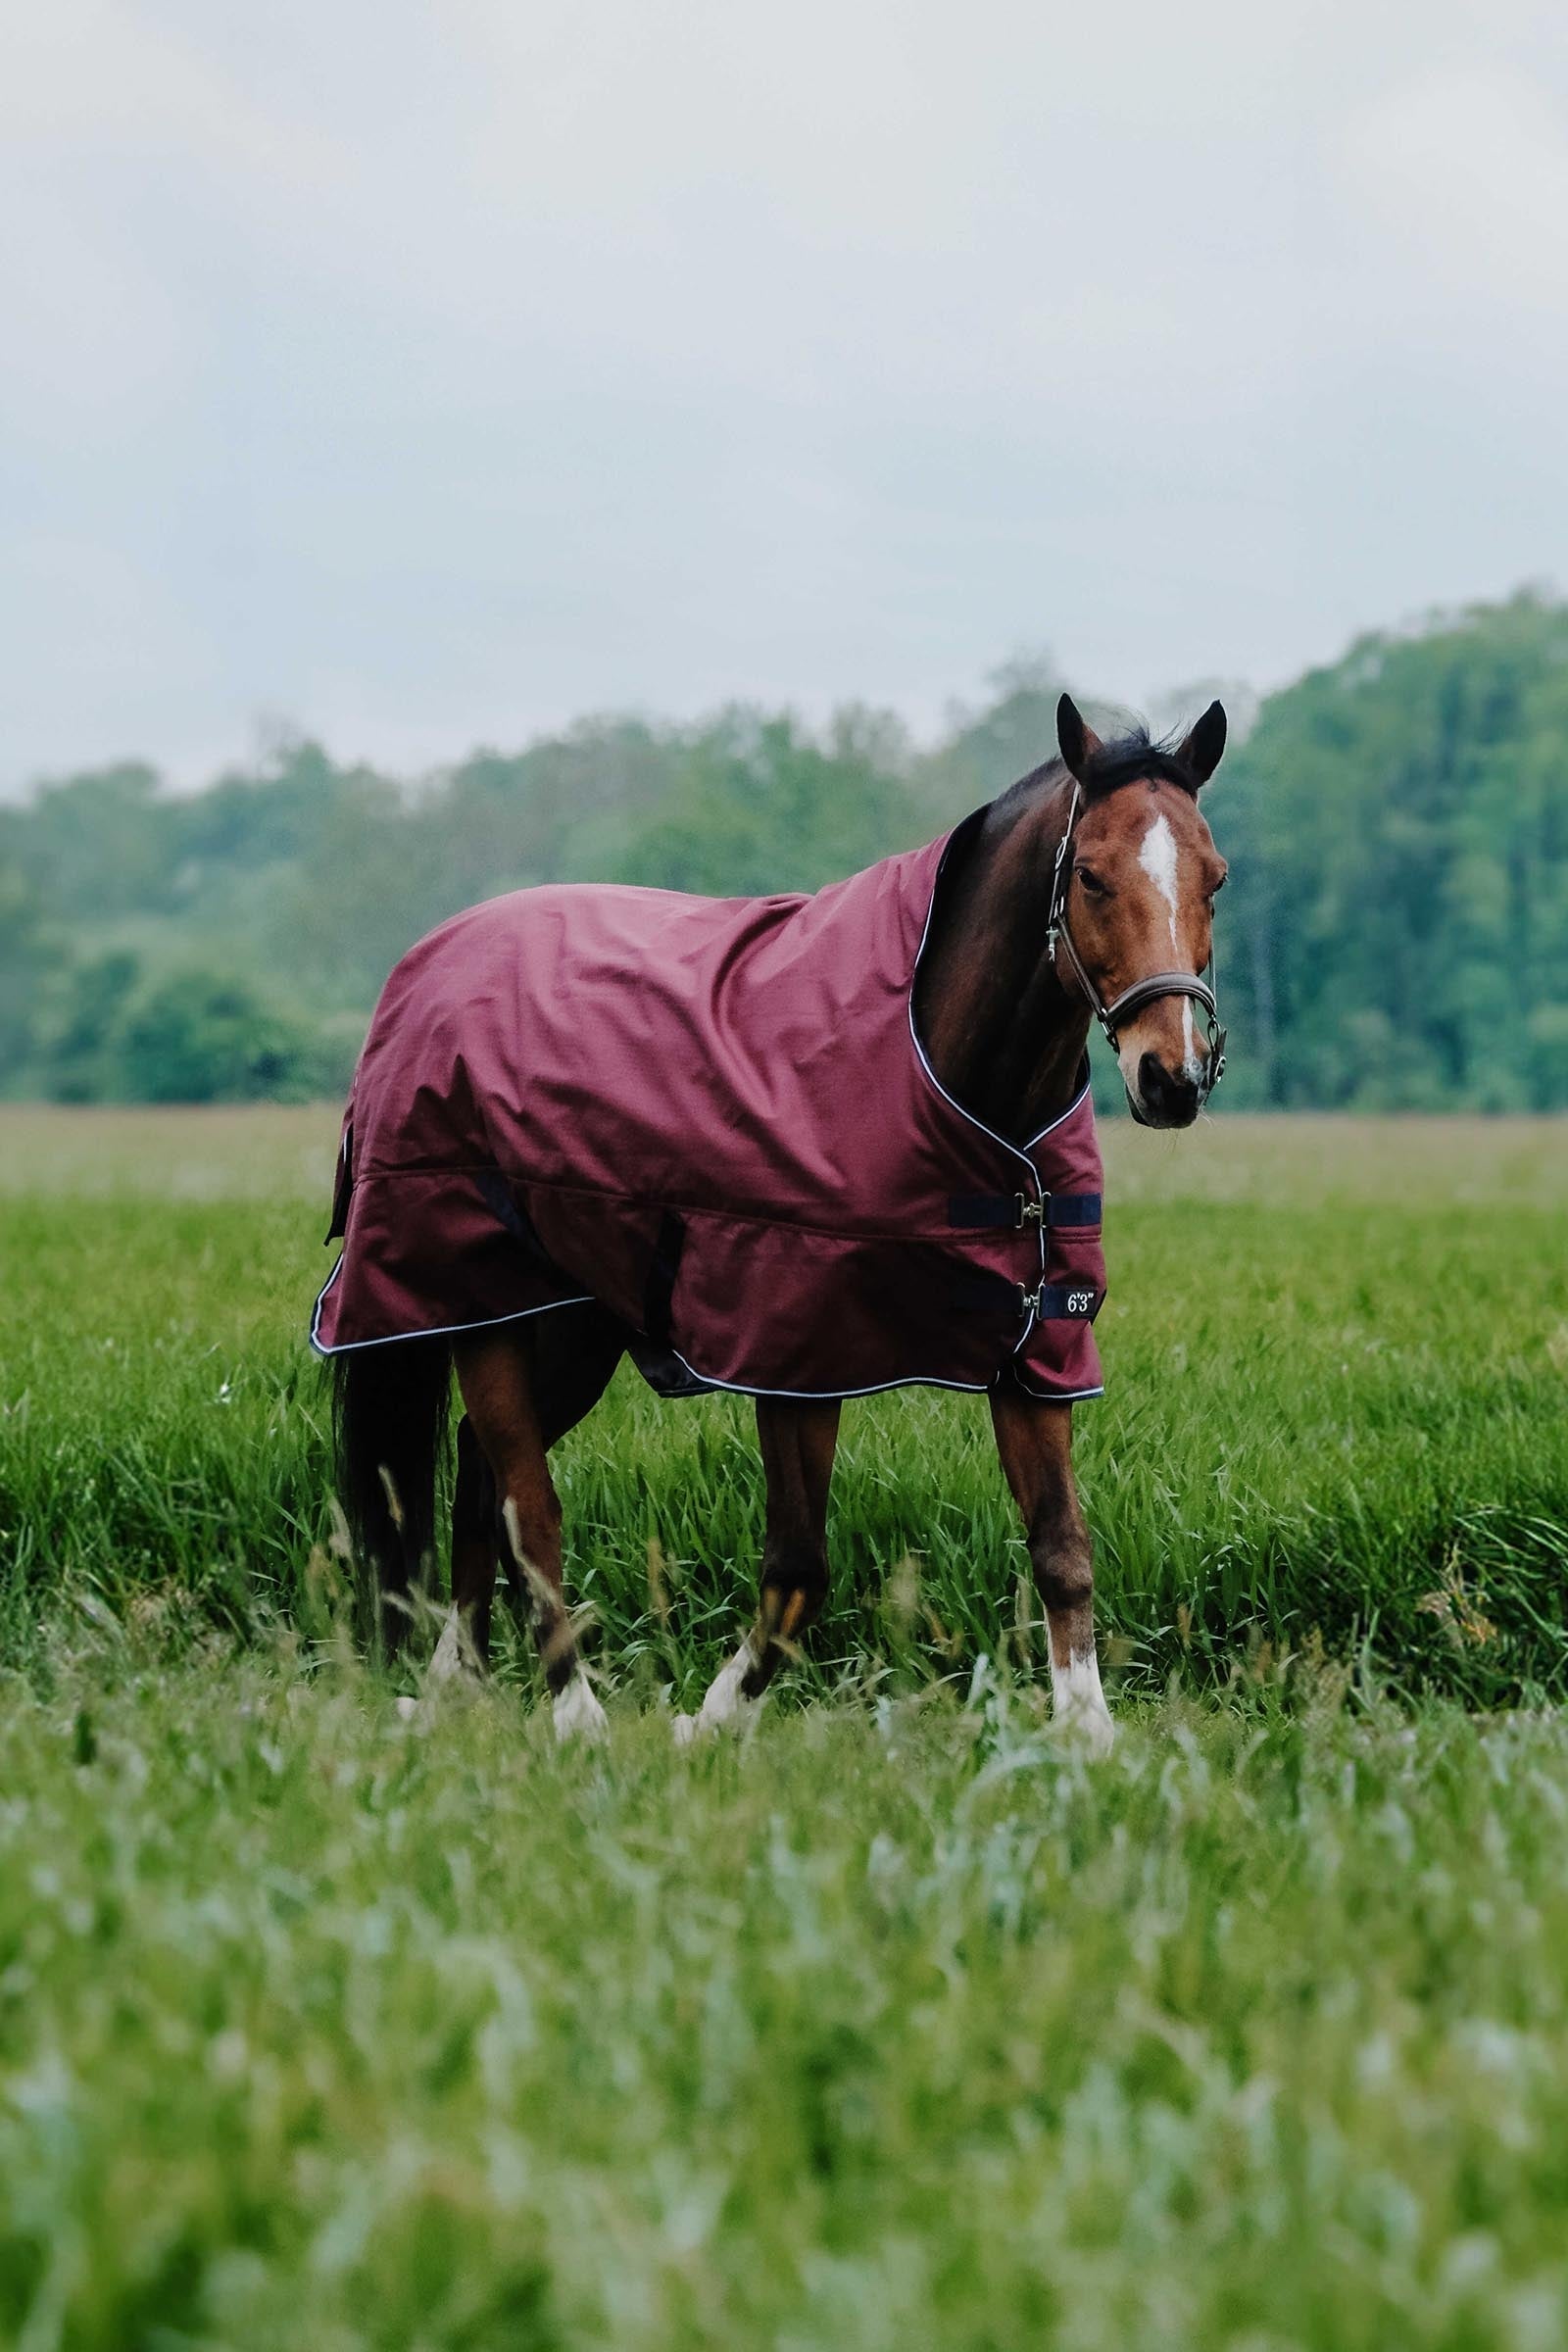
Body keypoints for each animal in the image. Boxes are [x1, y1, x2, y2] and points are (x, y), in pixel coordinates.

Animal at [321, 692, 1229, 1752]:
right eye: (1089, 873)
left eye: (1215, 878)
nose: (1172, 1077)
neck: (947, 1078)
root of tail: (426, 964)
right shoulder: (798, 1357)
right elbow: (798, 1568)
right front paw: (709, 1720)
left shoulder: (1035, 1348)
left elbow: (1062, 1546)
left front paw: (1088, 1735)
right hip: (478, 1303)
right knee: (523, 1502)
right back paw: (575, 1713)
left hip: (570, 1325)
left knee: (474, 1474)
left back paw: (451, 1688)